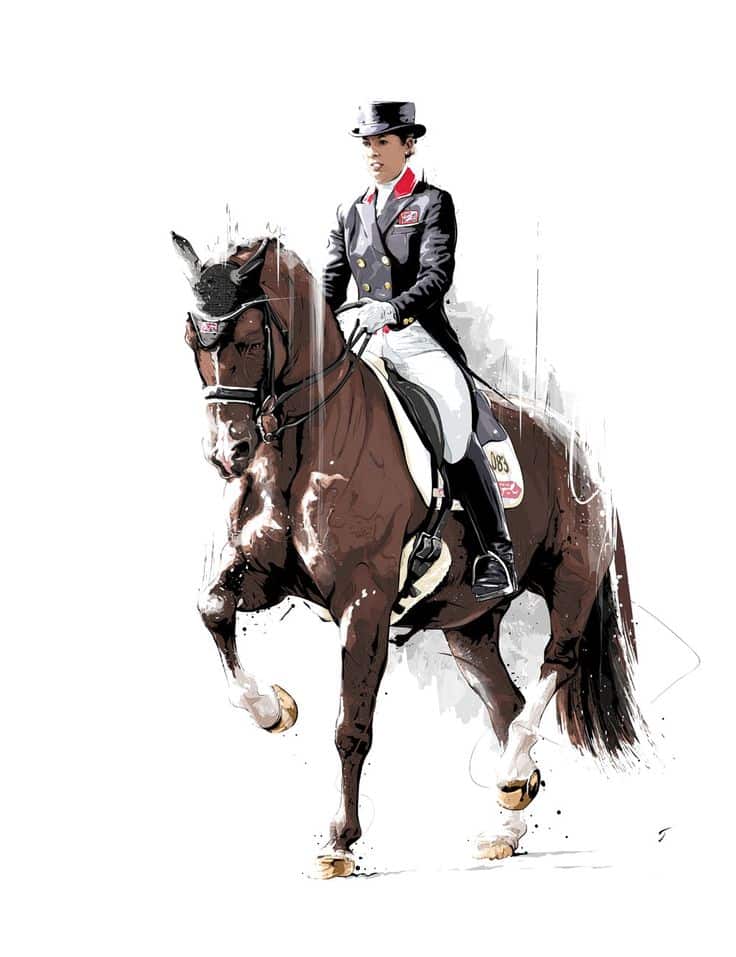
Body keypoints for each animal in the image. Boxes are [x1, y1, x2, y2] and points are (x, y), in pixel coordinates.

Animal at [172, 231, 646, 878]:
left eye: (247, 339)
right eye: (191, 339)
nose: (227, 452)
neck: (303, 446)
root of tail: (580, 445)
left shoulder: (365, 602)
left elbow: (351, 726)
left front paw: (339, 842)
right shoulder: (264, 576)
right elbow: (212, 607)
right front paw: (272, 710)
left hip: (570, 586)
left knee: (555, 665)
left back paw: (511, 778)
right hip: (469, 626)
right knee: (506, 702)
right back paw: (507, 820)